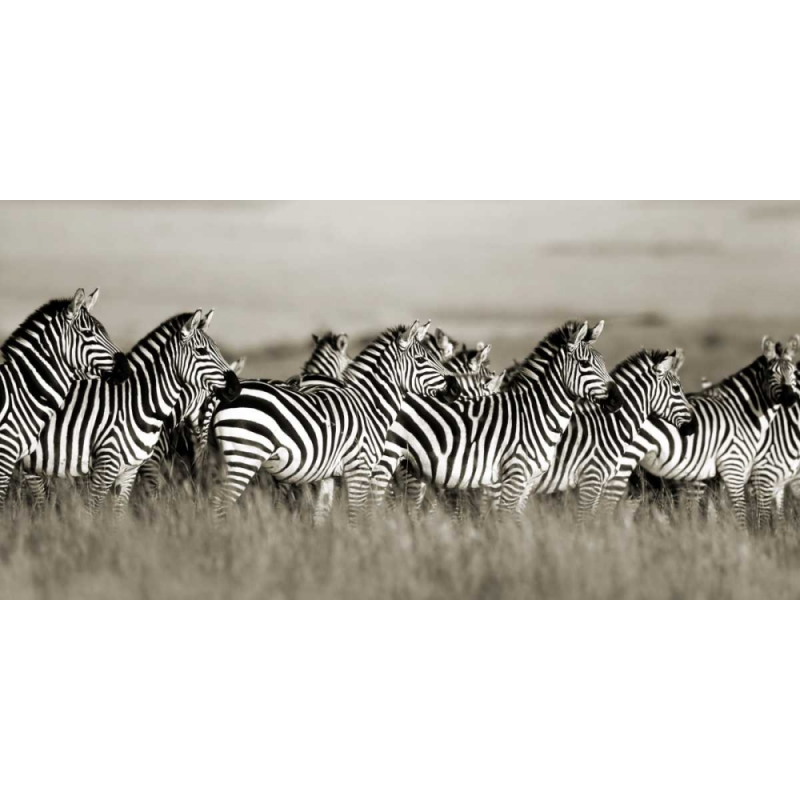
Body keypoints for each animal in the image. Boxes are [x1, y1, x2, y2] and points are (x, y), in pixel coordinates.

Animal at [209, 320, 461, 521]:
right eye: (421, 359)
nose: (455, 387)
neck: (369, 405)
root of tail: (224, 398)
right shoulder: (359, 466)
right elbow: (356, 514)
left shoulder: (329, 475)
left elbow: (321, 515)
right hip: (244, 457)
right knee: (219, 505)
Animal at [369, 320, 623, 521]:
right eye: (585, 364)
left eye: (603, 361)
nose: (618, 400)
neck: (536, 413)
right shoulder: (508, 479)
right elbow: (502, 519)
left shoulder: (526, 482)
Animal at [599, 336, 799, 527]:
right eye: (772, 373)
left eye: (794, 373)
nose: (791, 397)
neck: (742, 412)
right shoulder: (742, 469)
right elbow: (747, 512)